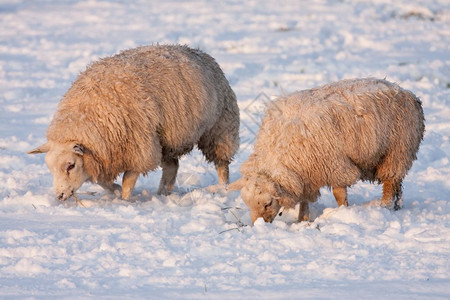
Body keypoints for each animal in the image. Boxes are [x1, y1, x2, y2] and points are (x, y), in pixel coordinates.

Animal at [27, 44, 239, 203]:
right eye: (50, 168)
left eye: (70, 166)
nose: (60, 196)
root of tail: (198, 51)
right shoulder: (105, 155)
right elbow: (103, 182)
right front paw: (114, 189)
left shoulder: (138, 148)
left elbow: (128, 180)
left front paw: (124, 200)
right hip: (166, 139)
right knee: (172, 166)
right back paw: (162, 193)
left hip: (220, 127)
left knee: (222, 163)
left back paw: (222, 188)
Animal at [230, 78, 424, 224]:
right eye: (248, 204)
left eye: (268, 203)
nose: (258, 225)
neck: (279, 148)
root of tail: (408, 93)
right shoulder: (307, 172)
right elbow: (305, 199)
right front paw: (302, 219)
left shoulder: (334, 165)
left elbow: (339, 194)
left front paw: (343, 212)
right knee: (397, 184)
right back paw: (397, 206)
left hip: (397, 151)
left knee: (390, 183)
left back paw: (385, 207)